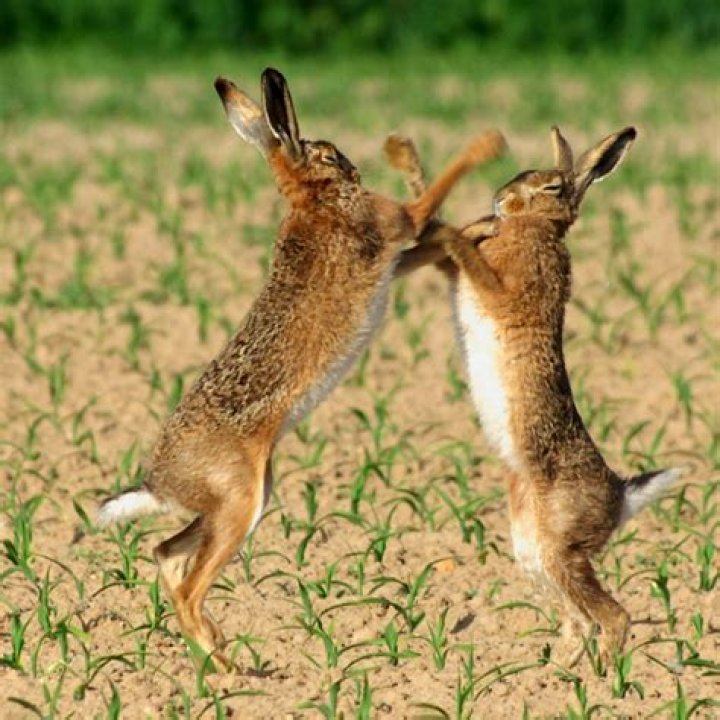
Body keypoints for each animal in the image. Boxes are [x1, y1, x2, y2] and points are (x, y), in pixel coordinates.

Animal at [96, 67, 506, 671]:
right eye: (330, 155)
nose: (355, 169)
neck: (313, 198)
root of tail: (157, 482)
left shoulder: (394, 257)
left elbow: (430, 242)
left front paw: (484, 228)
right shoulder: (393, 223)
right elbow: (433, 193)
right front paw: (488, 146)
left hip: (244, 502)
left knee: (167, 556)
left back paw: (221, 653)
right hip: (238, 502)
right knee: (188, 584)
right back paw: (228, 671)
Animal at [385, 127, 684, 666]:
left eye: (551, 188)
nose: (500, 201)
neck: (538, 230)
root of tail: (621, 496)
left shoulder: (506, 291)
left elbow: (461, 248)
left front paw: (461, 226)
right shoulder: (457, 276)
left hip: (560, 549)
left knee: (614, 617)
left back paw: (606, 681)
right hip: (531, 549)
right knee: (578, 620)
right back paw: (560, 673)